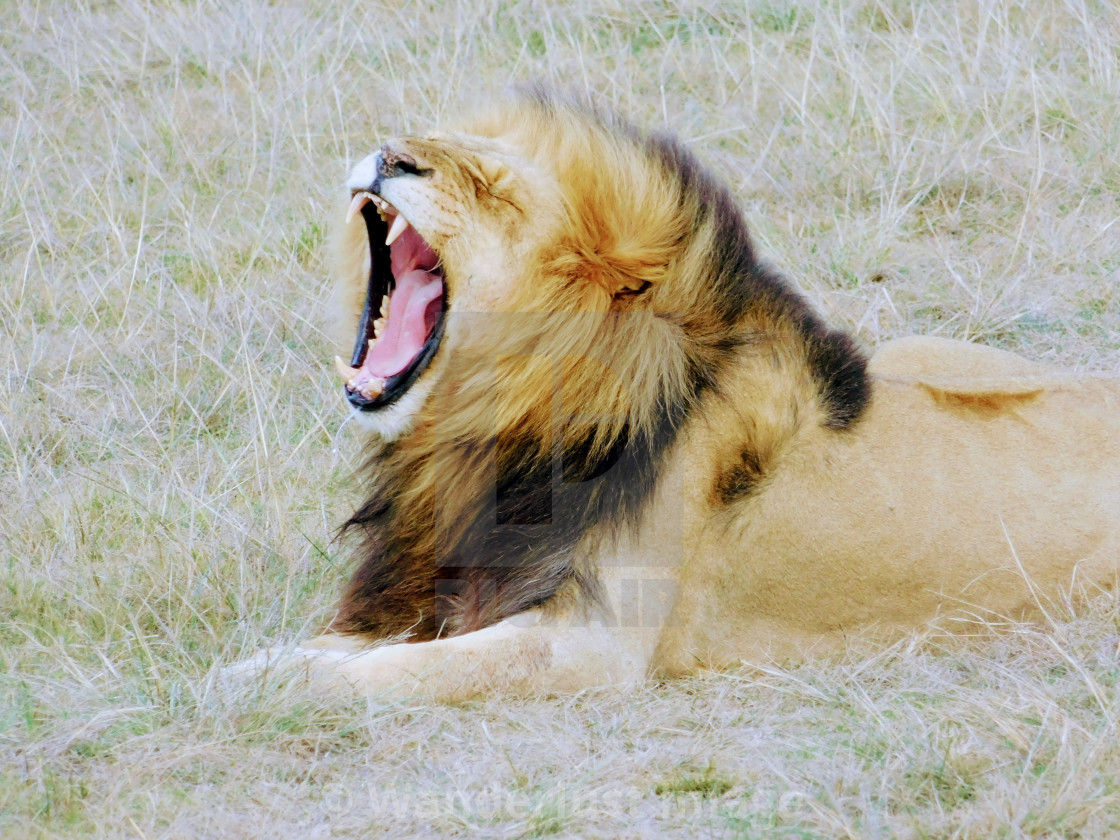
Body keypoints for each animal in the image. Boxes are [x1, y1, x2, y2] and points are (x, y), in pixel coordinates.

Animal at [238, 90, 1120, 703]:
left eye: (496, 190)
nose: (389, 156)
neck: (484, 427)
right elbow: (366, 646)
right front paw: (270, 656)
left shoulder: (593, 644)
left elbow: (409, 669)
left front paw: (252, 680)